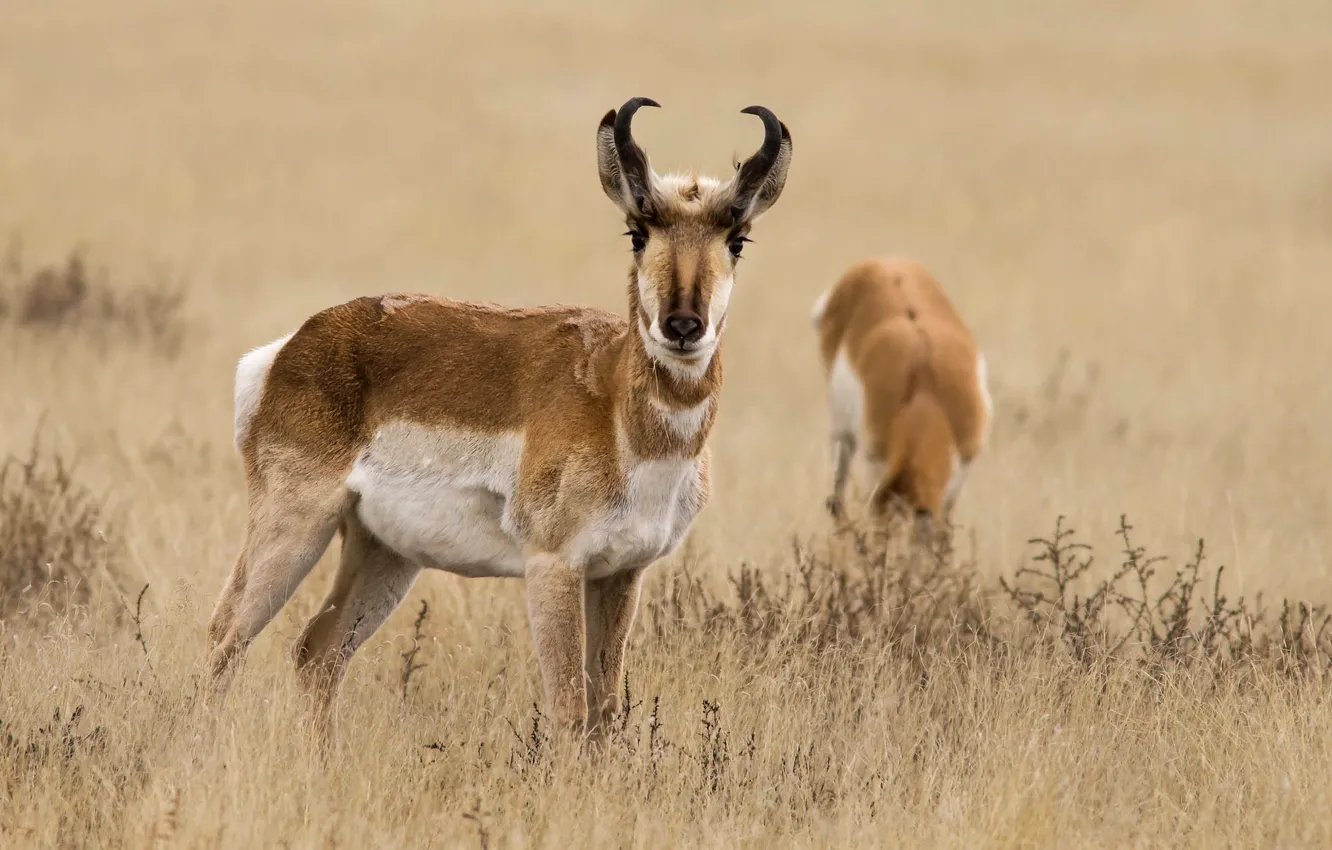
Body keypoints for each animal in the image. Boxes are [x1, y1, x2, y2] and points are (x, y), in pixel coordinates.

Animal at [206, 97, 792, 739]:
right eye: (637, 233)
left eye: (738, 240)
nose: (683, 326)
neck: (613, 400)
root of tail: (295, 344)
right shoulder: (553, 567)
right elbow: (569, 709)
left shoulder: (620, 574)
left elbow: (604, 710)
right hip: (296, 524)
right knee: (225, 636)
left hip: (384, 551)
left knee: (318, 651)